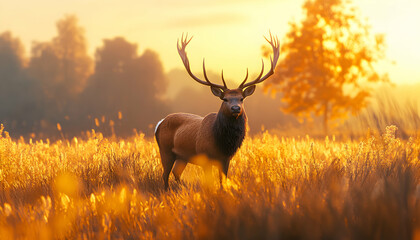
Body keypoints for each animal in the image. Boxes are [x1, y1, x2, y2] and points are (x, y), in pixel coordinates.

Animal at [154, 32, 278, 189]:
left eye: (241, 99)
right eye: (224, 99)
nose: (236, 108)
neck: (222, 143)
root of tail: (160, 122)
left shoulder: (226, 159)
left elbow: (222, 181)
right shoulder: (204, 156)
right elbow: (209, 182)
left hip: (182, 156)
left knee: (176, 172)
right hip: (165, 150)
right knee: (165, 174)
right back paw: (166, 191)